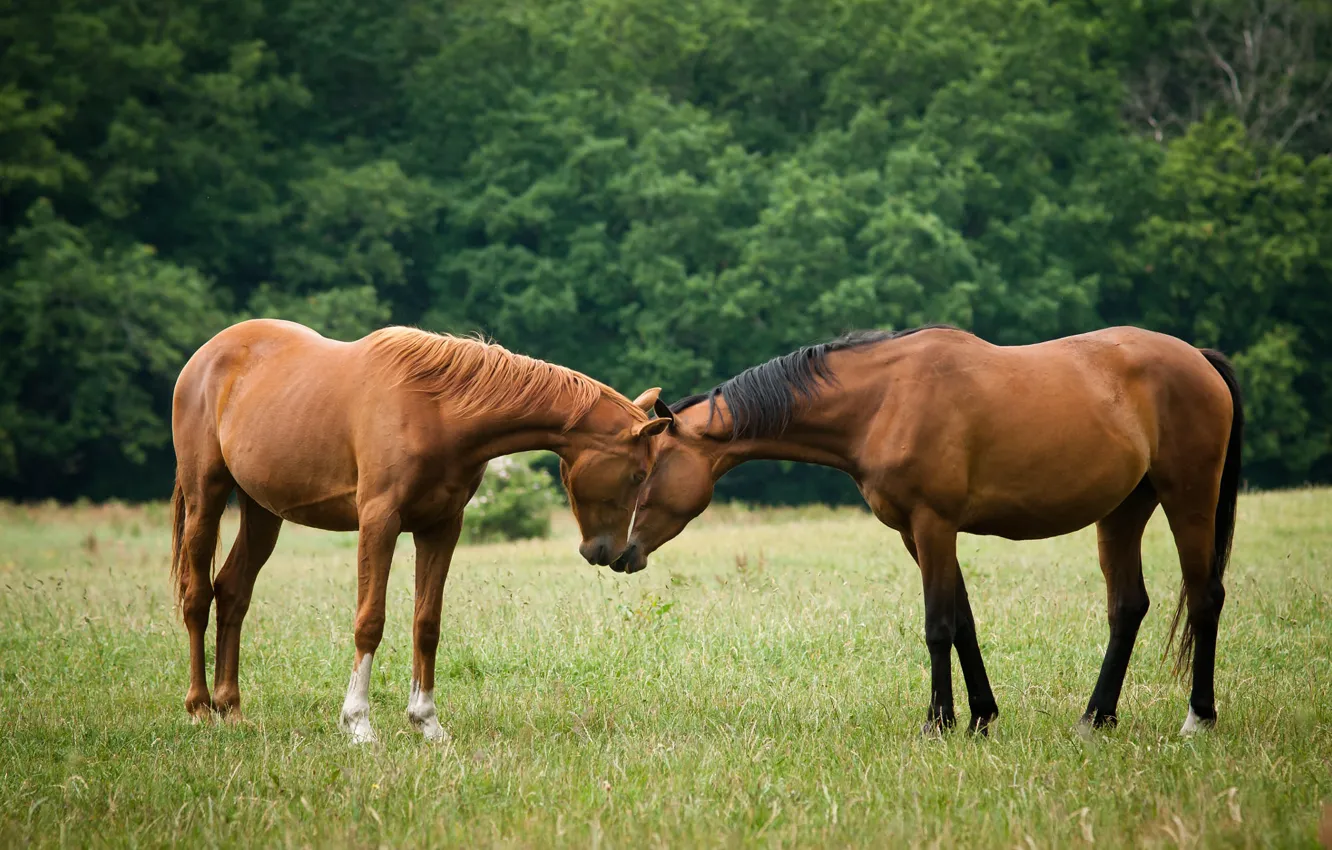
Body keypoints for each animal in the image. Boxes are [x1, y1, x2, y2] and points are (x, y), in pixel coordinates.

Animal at [170, 319, 669, 742]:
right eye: (637, 475)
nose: (610, 553)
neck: (439, 409)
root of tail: (207, 354)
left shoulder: (441, 528)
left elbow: (427, 623)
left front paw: (426, 722)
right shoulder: (379, 522)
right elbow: (370, 621)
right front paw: (358, 724)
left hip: (262, 512)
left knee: (233, 592)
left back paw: (231, 707)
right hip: (205, 497)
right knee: (197, 597)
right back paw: (199, 708)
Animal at [616, 326, 1242, 736]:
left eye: (646, 470)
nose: (620, 552)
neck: (883, 401)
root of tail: (1199, 358)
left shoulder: (933, 524)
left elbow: (938, 625)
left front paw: (938, 723)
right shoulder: (914, 534)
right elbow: (963, 621)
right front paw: (981, 717)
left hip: (1188, 499)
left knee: (1205, 597)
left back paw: (1198, 717)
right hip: (1123, 511)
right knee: (1127, 607)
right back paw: (1096, 718)